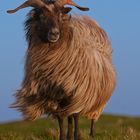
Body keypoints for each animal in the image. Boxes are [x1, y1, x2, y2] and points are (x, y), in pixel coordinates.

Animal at [7, 0, 116, 139]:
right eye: (41, 16)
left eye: (59, 15)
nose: (54, 33)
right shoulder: (53, 95)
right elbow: (60, 117)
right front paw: (63, 137)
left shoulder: (77, 92)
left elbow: (75, 115)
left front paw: (77, 136)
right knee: (67, 116)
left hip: (98, 97)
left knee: (90, 116)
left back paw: (92, 134)